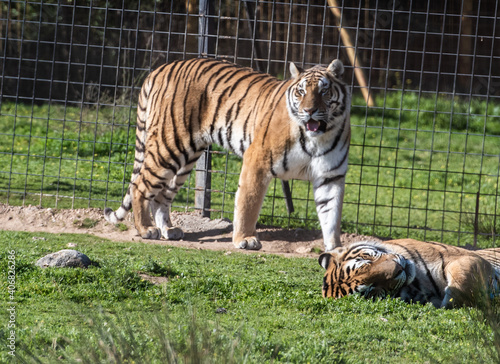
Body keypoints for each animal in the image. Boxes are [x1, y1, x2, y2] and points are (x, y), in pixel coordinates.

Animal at [103, 58, 350, 252]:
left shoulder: (330, 176)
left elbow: (331, 215)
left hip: (185, 158)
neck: (318, 137)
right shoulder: (257, 160)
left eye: (324, 91)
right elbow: (248, 203)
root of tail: (159, 70)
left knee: (161, 195)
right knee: (139, 186)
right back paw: (146, 229)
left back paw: (168, 230)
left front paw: (335, 249)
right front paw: (245, 239)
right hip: (168, 146)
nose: (309, 111)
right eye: (301, 92)